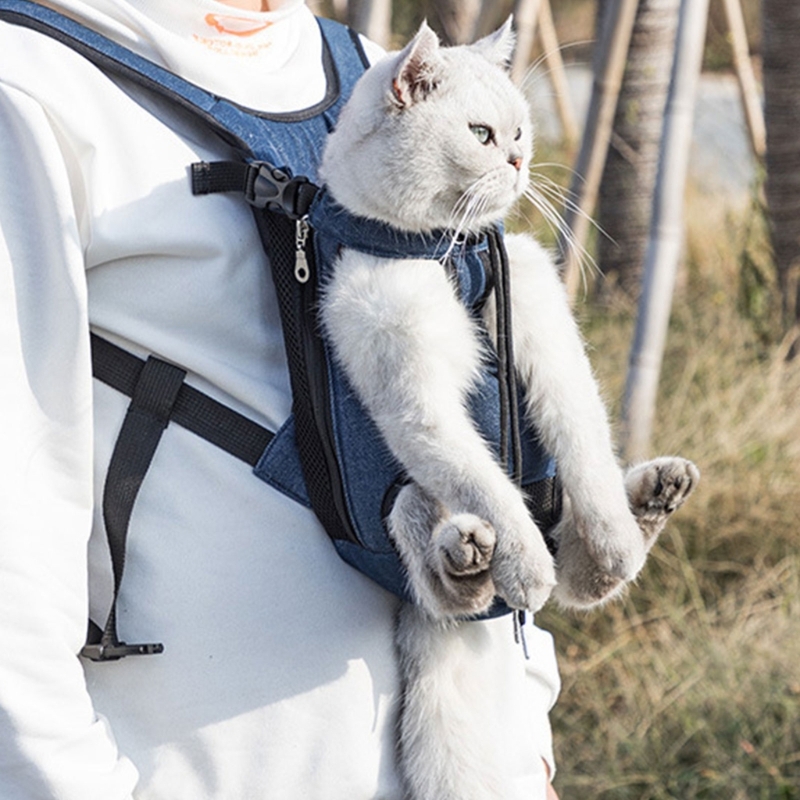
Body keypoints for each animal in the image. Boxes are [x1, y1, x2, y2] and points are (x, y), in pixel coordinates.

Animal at [316, 18, 696, 800]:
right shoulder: (417, 405)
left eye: (519, 132)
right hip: (405, 503)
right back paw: (471, 555)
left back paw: (650, 500)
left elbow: (585, 449)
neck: (444, 251)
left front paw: (614, 536)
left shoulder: (552, 346)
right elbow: (489, 484)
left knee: (588, 572)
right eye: (482, 135)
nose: (520, 161)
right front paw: (521, 563)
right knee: (449, 586)